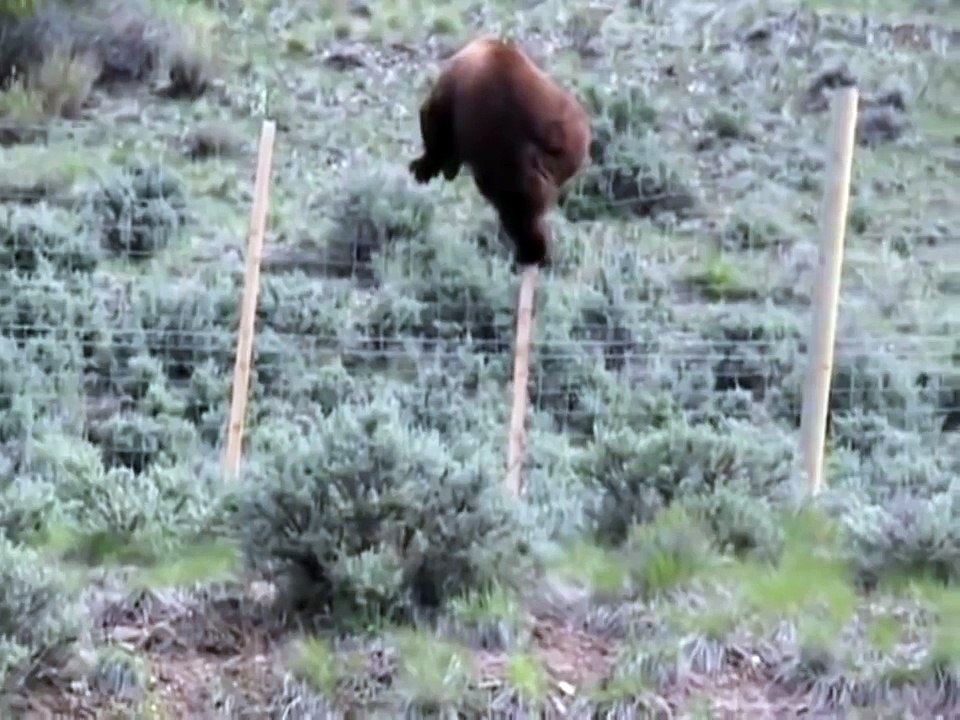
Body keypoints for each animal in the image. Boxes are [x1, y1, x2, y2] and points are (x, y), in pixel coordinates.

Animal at [408, 35, 592, 268]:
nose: (448, 173)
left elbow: (435, 125)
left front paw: (421, 168)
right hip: (558, 160)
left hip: (512, 156)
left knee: (516, 208)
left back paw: (529, 253)